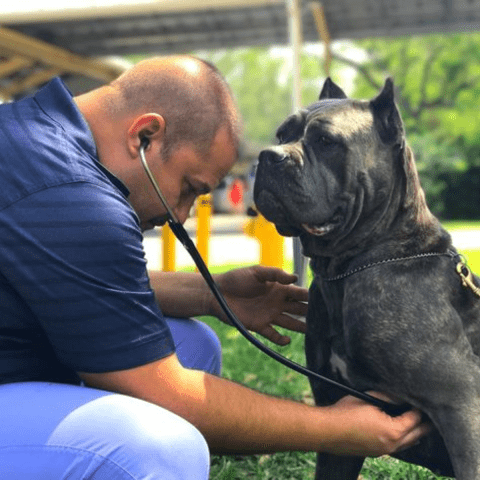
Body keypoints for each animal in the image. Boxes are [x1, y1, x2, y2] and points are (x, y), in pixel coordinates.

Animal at [253, 77, 480, 478]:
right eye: (282, 135)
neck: (348, 270)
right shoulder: (336, 424)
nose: (268, 155)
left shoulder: (461, 410)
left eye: (326, 142)